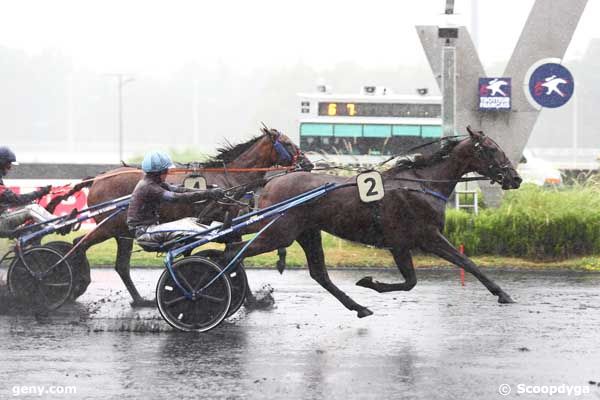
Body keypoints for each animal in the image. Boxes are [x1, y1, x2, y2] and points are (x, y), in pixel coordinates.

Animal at [227, 126, 524, 318]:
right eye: (491, 149)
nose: (516, 178)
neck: (423, 183)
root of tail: (271, 182)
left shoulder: (406, 242)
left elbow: (417, 279)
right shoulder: (421, 238)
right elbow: (461, 263)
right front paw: (502, 293)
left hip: (304, 232)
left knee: (318, 274)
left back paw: (359, 308)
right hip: (279, 232)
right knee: (234, 251)